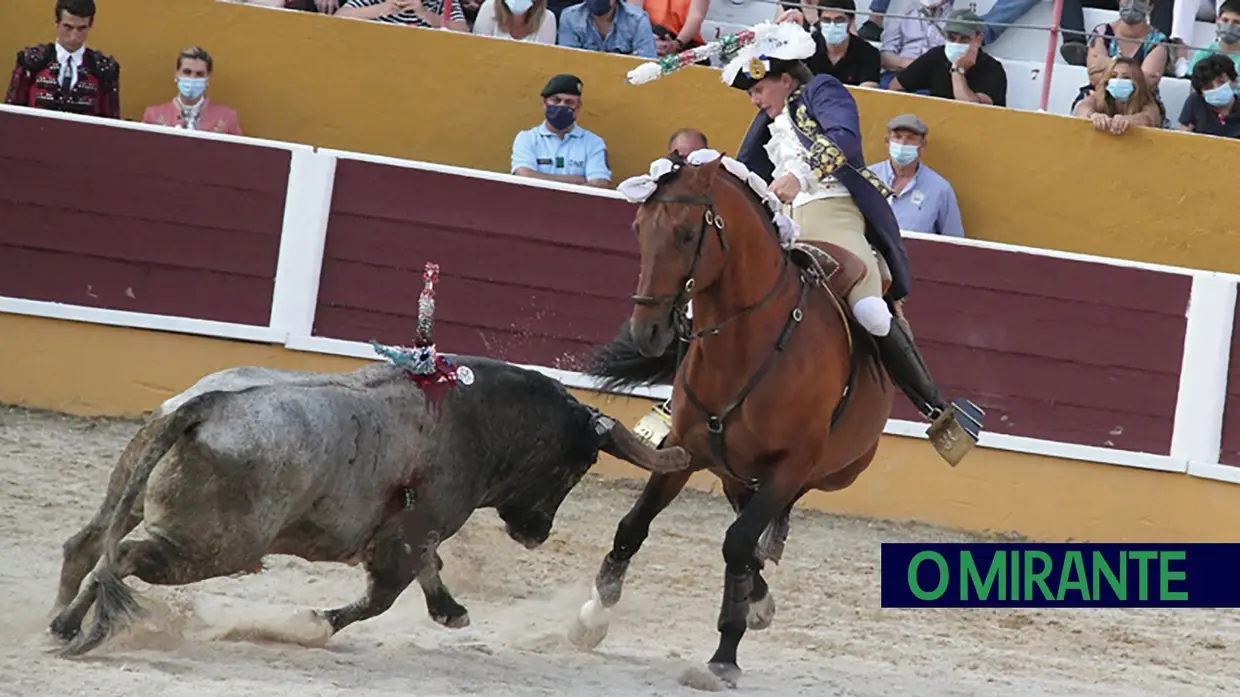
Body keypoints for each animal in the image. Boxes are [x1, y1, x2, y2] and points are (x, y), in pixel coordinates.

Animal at [48, 354, 689, 654]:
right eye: (580, 466)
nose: (538, 532)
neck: (475, 419)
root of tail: (201, 407)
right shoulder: (407, 537)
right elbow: (381, 597)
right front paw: (311, 624)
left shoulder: (411, 534)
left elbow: (427, 571)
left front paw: (450, 610)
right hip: (212, 548)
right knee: (122, 559)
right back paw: (74, 624)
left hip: (129, 495)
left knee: (86, 545)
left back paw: (56, 619)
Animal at [567, 153, 907, 684]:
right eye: (639, 228)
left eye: (687, 233)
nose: (648, 332)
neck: (746, 343)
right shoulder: (682, 450)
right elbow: (633, 526)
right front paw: (593, 616)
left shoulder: (792, 464)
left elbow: (738, 542)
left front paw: (725, 652)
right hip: (735, 469)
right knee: (744, 510)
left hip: (841, 470)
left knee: (765, 518)